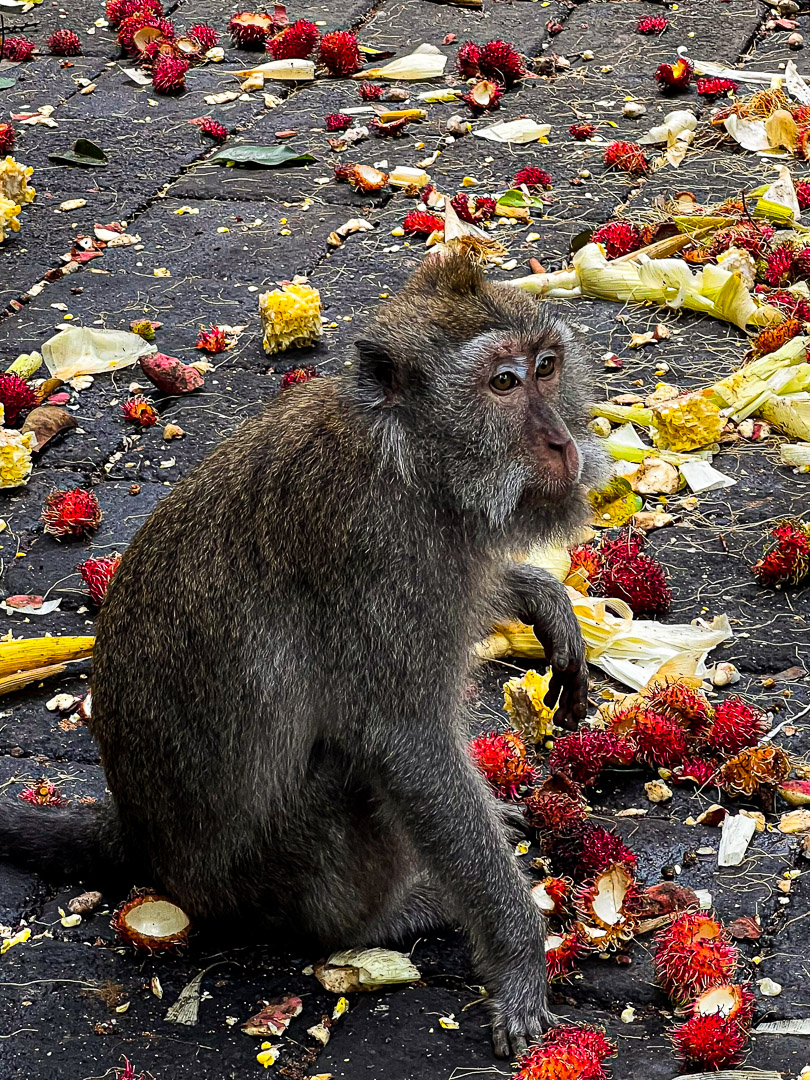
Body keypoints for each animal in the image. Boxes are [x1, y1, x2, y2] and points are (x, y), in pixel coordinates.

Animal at [0, 253, 605, 1058]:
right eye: (503, 383)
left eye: (547, 367)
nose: (562, 442)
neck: (408, 457)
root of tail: (136, 832)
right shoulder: (382, 555)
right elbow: (405, 746)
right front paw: (518, 955)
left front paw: (540, 597)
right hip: (265, 878)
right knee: (353, 777)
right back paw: (386, 918)